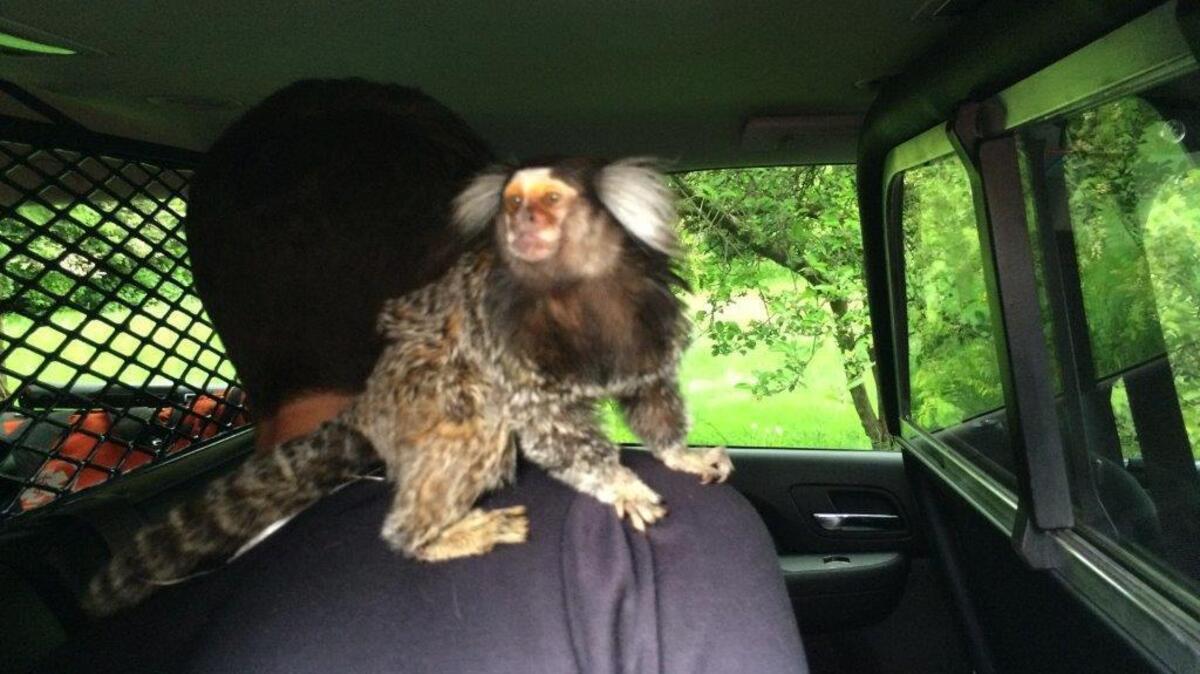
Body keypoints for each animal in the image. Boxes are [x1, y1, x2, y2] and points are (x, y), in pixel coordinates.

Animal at [83, 157, 732, 617]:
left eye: (549, 200)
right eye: (512, 203)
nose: (522, 222)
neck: (574, 293)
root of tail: (371, 399)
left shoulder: (639, 320)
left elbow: (649, 394)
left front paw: (678, 455)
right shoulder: (511, 348)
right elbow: (551, 430)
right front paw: (620, 484)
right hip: (422, 397)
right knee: (474, 423)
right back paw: (436, 535)